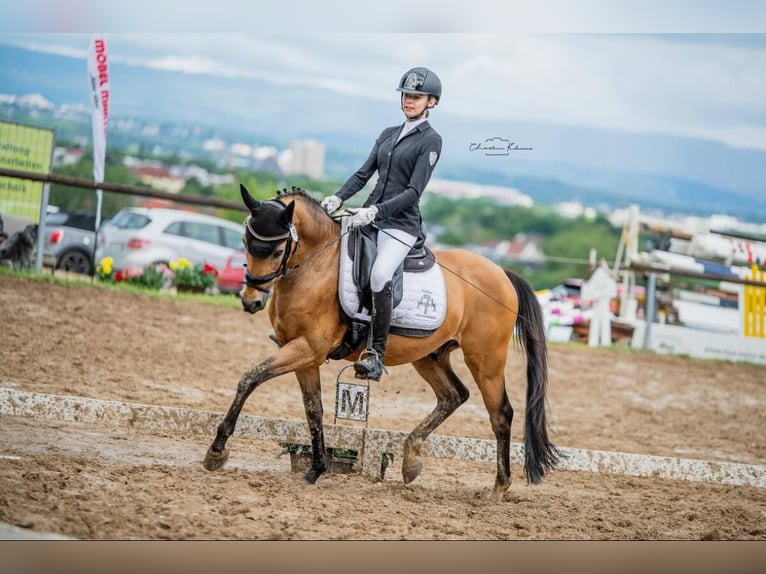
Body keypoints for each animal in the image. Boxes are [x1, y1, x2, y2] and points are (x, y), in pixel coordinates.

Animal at [204, 187, 560, 502]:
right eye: (245, 242)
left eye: (278, 252)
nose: (250, 300)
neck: (315, 266)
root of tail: (502, 273)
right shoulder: (305, 355)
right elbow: (313, 409)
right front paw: (316, 469)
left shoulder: (307, 348)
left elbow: (250, 379)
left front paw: (216, 451)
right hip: (430, 356)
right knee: (453, 395)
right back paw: (411, 461)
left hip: (485, 359)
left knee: (500, 414)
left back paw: (499, 487)